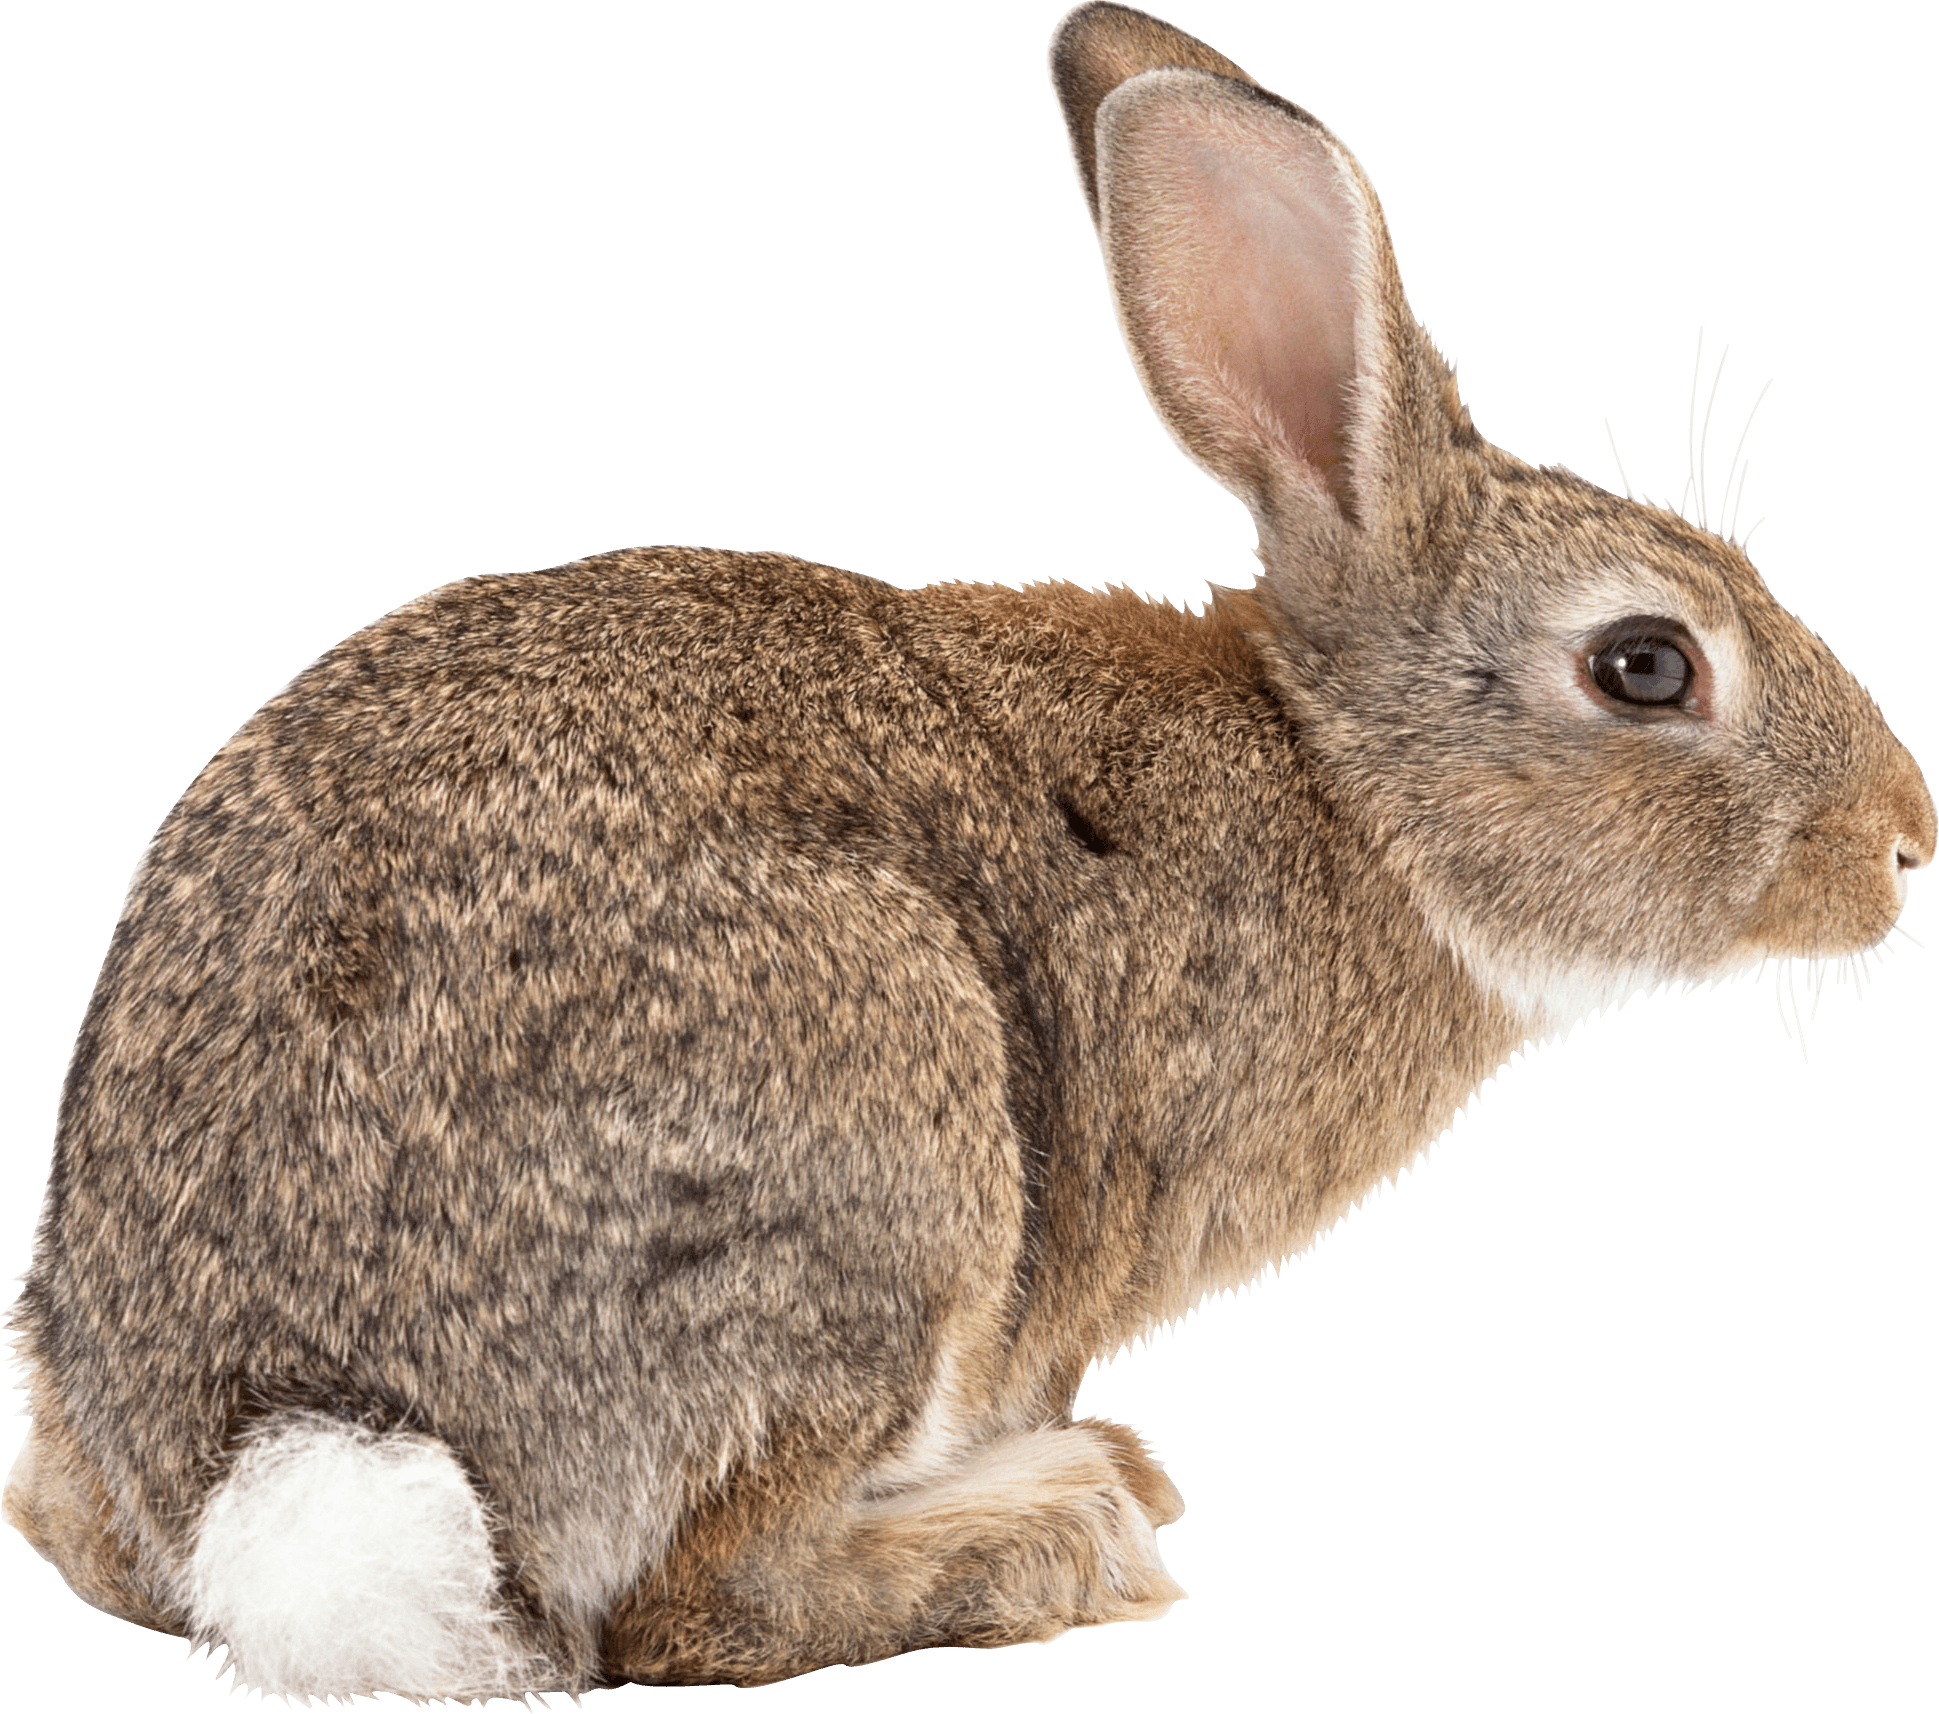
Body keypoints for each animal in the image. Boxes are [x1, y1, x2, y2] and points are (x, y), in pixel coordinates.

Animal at [7, 0, 1932, 1699]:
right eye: (1644, 666)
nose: (1906, 837)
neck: (1340, 780)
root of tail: (285, 1459)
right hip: (879, 1140)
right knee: (699, 1604)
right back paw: (1060, 1528)